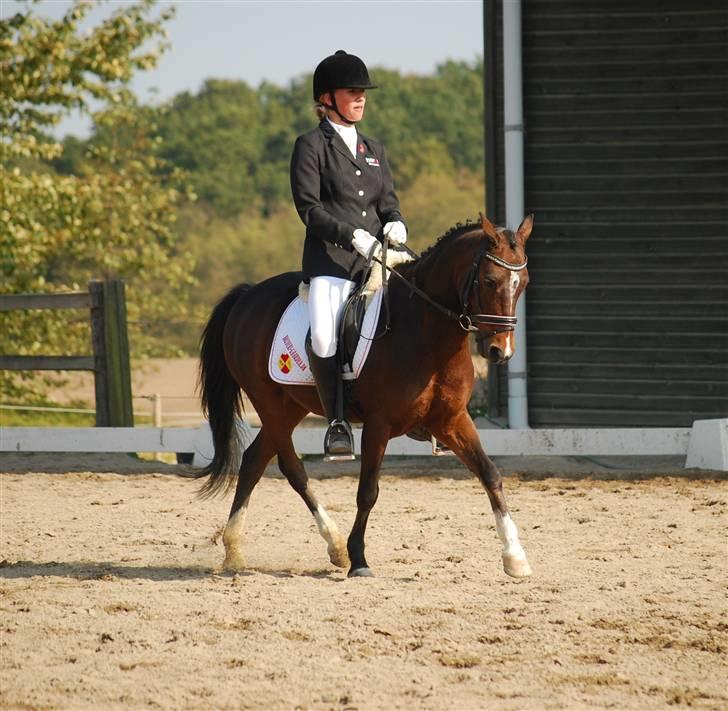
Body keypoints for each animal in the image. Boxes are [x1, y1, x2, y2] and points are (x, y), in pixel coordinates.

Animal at [199, 211, 536, 580]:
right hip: (269, 402)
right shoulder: (379, 424)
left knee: (254, 460)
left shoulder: (451, 420)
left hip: (292, 406)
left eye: (524, 282)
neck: (425, 329)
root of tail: (248, 296)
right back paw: (325, 545)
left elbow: (490, 474)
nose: (500, 350)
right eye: (489, 280)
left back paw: (245, 549)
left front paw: (515, 557)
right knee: (290, 467)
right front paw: (359, 558)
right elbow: (368, 492)